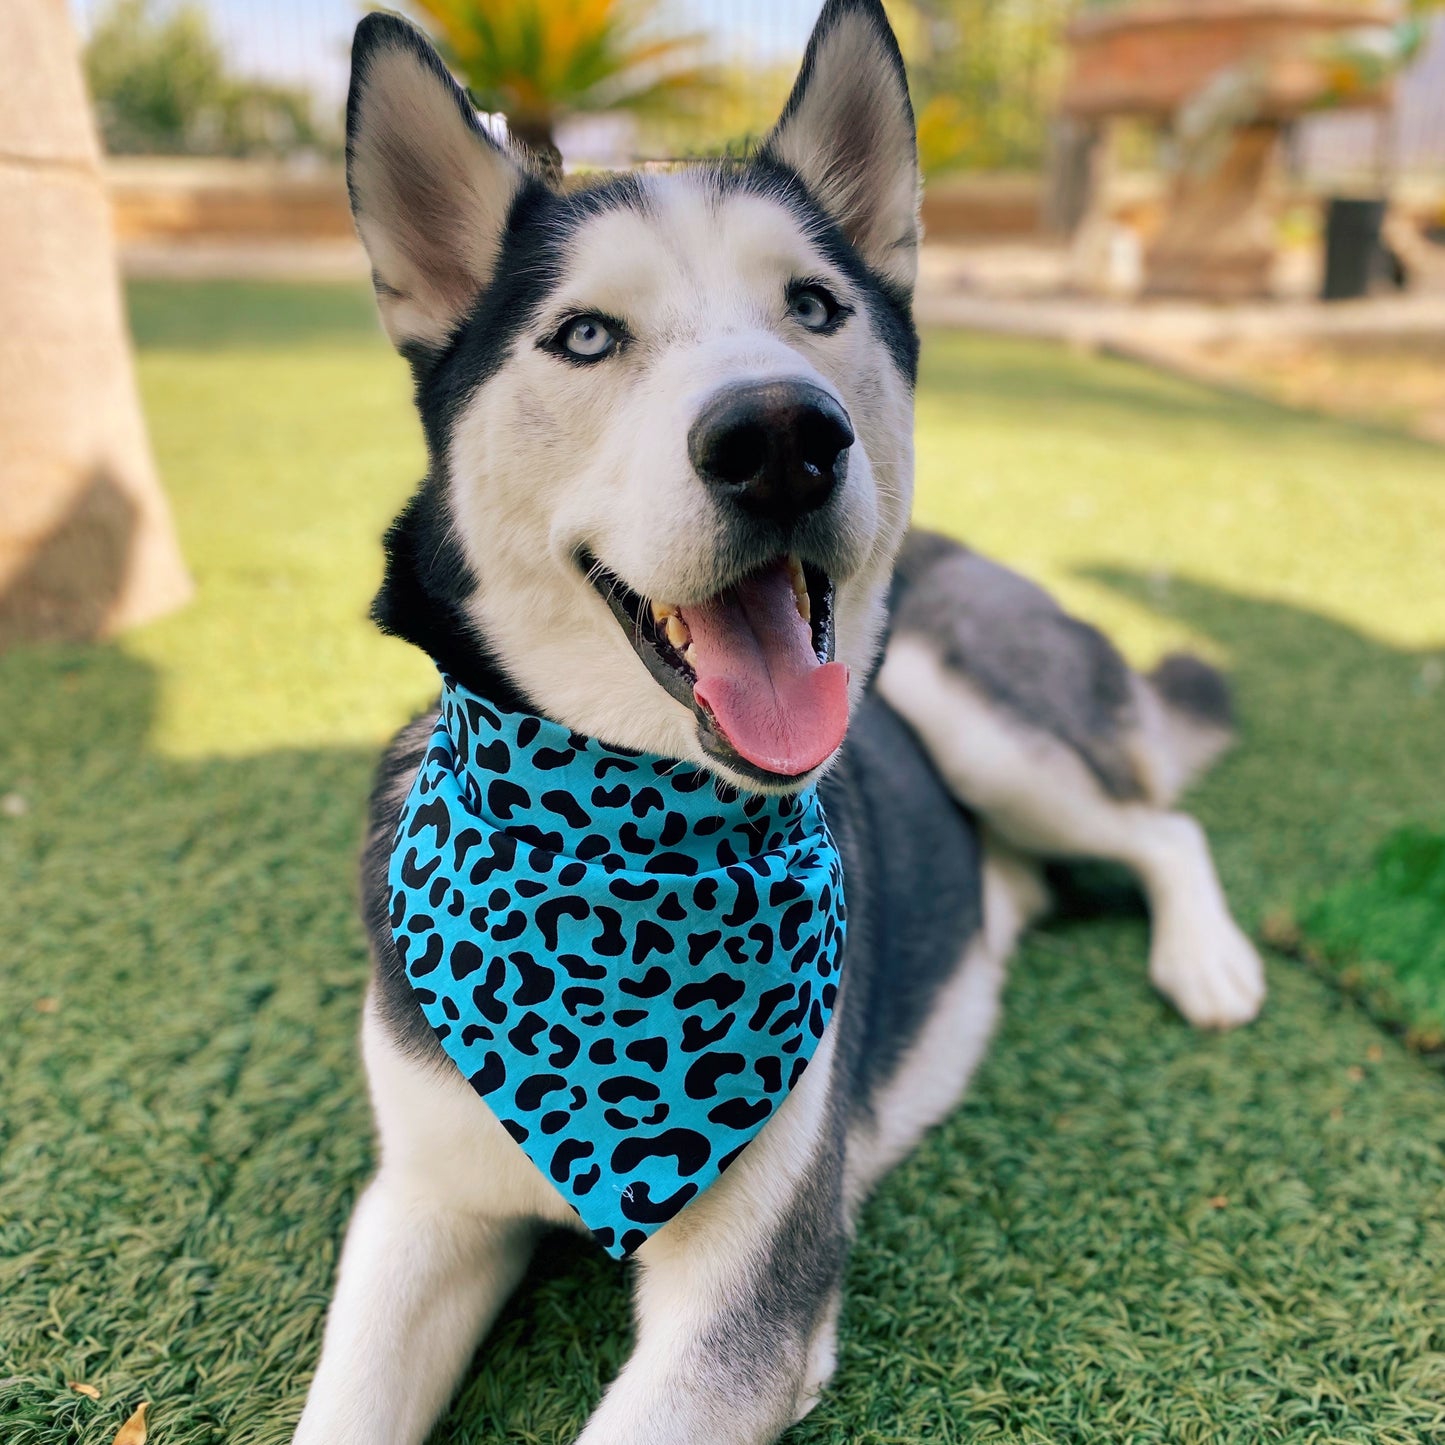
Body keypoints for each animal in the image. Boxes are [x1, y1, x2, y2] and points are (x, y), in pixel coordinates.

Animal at [293, 5, 1265, 1439]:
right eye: (585, 337)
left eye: (814, 306)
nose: (780, 437)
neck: (624, 839)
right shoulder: (419, 1202)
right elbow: (347, 1400)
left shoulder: (749, 1299)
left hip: (968, 706)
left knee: (1163, 827)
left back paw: (1203, 959)